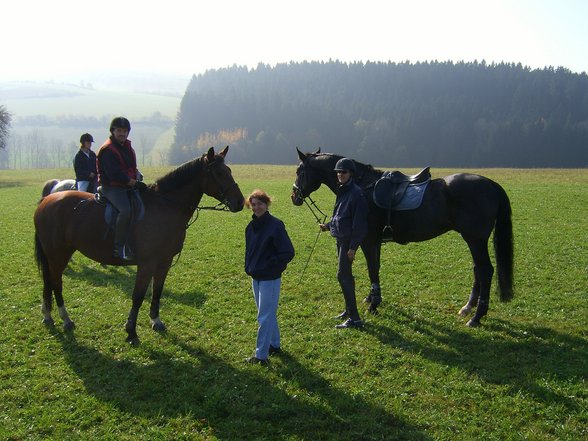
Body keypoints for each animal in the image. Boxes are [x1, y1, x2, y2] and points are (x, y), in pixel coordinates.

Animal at [292, 149, 512, 326]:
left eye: (299, 171)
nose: (294, 196)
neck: (362, 186)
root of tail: (491, 184)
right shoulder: (375, 241)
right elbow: (376, 268)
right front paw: (371, 298)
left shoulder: (368, 240)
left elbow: (372, 269)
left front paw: (374, 304)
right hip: (473, 240)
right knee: (477, 270)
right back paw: (468, 308)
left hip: (476, 239)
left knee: (485, 271)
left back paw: (477, 316)